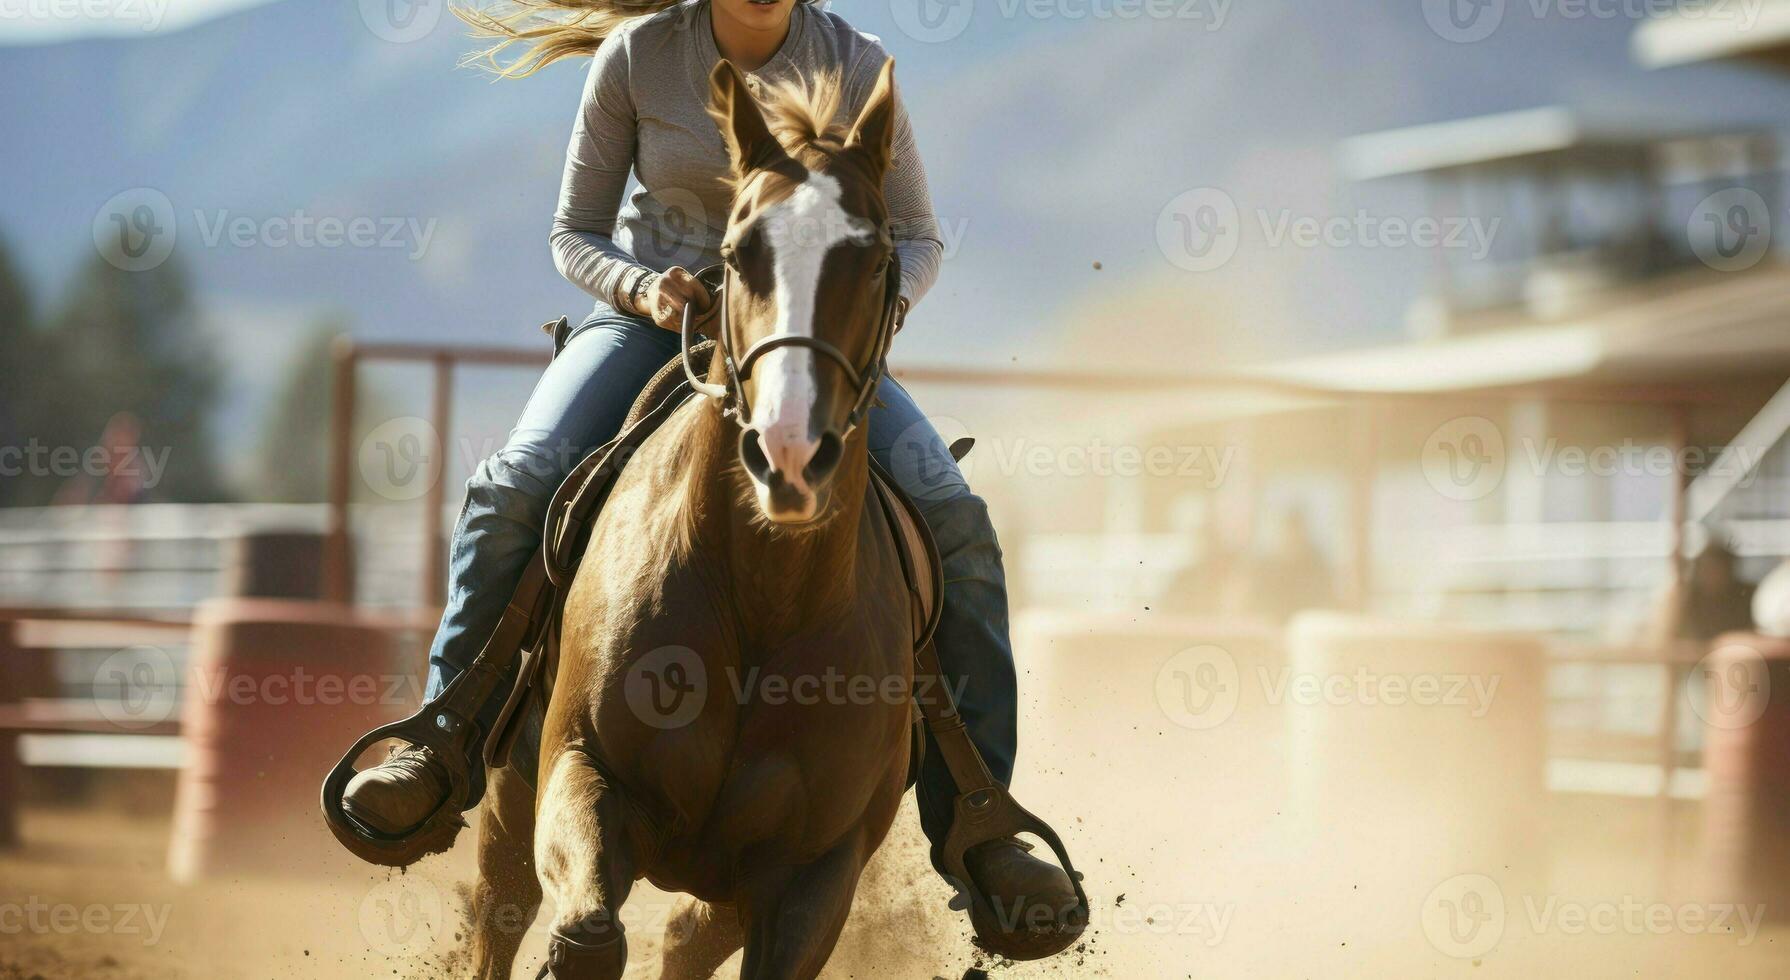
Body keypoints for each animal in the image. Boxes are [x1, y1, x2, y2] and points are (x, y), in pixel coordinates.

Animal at [472, 61, 923, 980]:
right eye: (736, 255)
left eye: (875, 258)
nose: (790, 447)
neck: (762, 597)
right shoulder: (579, 769)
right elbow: (585, 936)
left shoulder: (817, 875)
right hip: (509, 793)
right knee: (498, 911)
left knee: (684, 938)